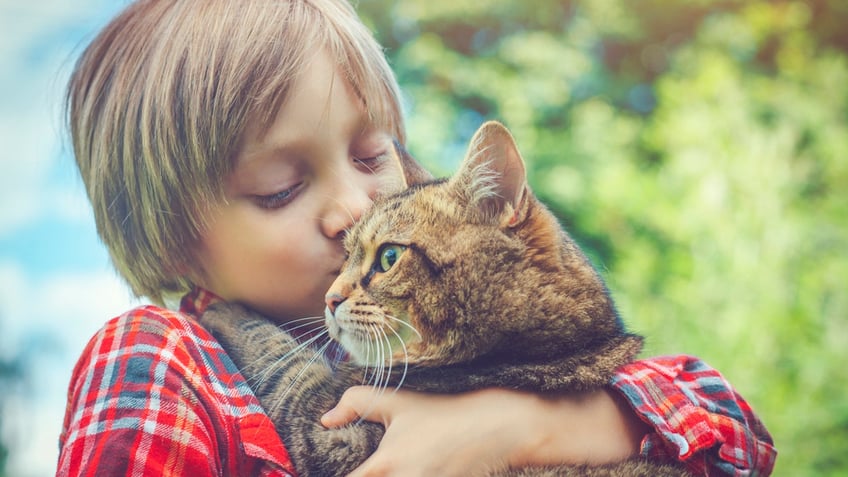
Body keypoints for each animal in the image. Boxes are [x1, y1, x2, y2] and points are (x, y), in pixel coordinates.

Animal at [202, 121, 692, 474]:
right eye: (345, 256)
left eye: (389, 257)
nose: (330, 298)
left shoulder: (321, 423)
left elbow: (276, 353)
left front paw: (217, 304)